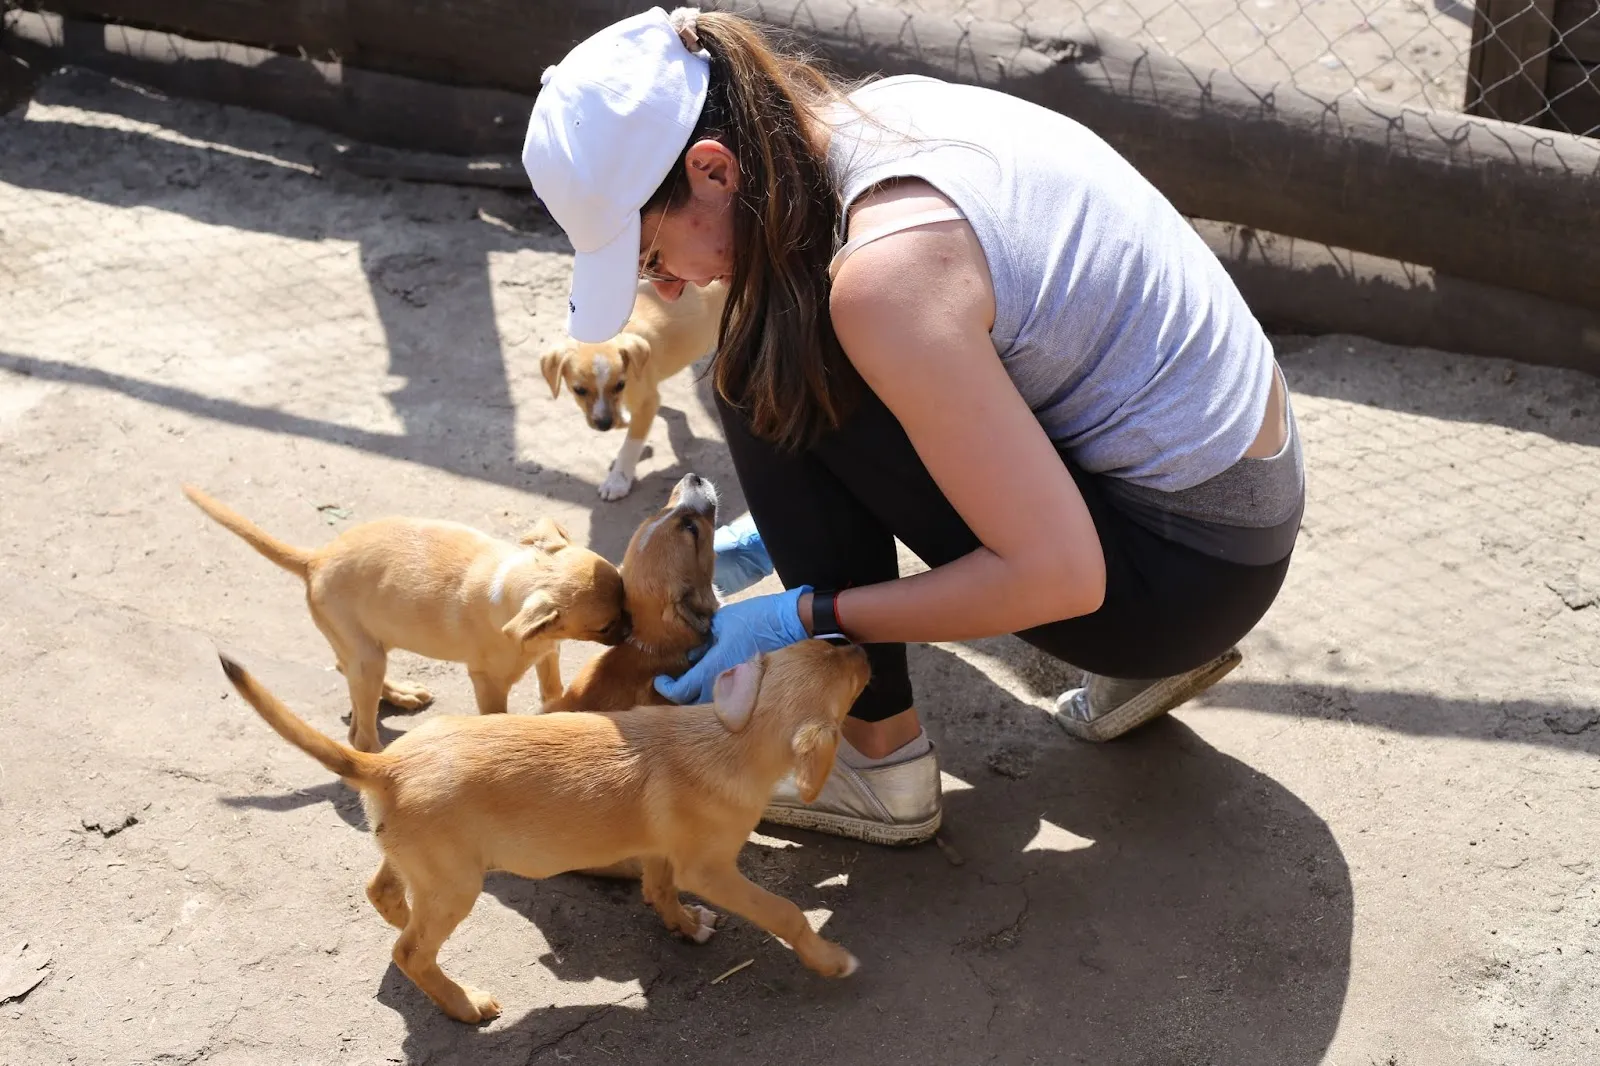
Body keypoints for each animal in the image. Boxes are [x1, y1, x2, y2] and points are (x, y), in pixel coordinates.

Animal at [183, 486, 629, 751]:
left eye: (626, 591)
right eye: (606, 626)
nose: (632, 628)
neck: (511, 585)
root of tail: (315, 559)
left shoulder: (548, 652)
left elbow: (552, 688)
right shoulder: (488, 683)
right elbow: (497, 717)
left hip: (368, 646)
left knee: (348, 670)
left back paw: (400, 694)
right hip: (367, 654)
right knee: (361, 735)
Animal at [216, 637, 872, 1022]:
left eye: (824, 645)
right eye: (850, 681)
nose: (860, 642)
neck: (730, 736)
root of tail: (387, 764)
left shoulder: (663, 851)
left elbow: (659, 890)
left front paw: (686, 926)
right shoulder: (709, 867)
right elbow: (786, 911)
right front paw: (829, 959)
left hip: (425, 862)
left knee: (384, 893)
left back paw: (411, 928)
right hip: (457, 884)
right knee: (408, 952)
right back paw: (462, 1003)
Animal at [541, 279, 727, 501]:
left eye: (620, 385)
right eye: (579, 390)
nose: (604, 425)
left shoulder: (647, 401)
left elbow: (630, 445)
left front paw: (617, 480)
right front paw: (623, 420)